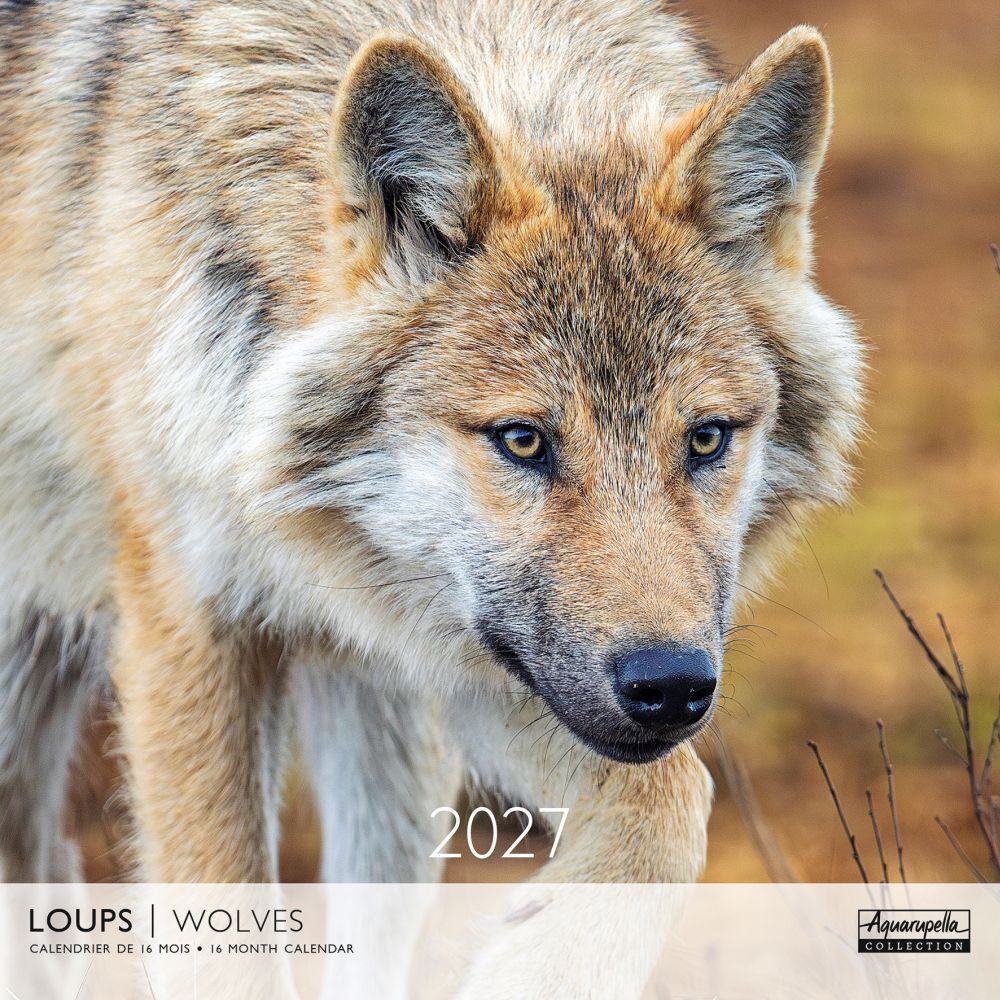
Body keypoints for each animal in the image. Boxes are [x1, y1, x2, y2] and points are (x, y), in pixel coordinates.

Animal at [0, 0, 860, 926]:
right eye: (522, 440)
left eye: (706, 439)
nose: (669, 684)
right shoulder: (187, 625)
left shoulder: (437, 651)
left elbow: (672, 800)